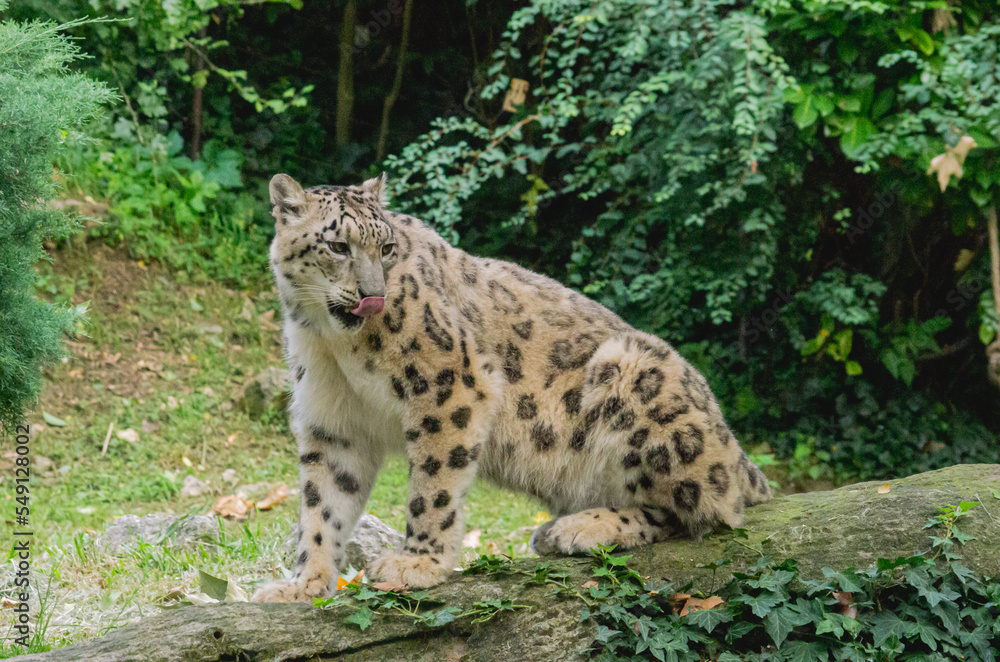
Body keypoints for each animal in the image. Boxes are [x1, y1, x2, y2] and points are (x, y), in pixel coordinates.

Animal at [250, 173, 772, 602]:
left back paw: (581, 528)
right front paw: (304, 584)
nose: (372, 295)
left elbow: (433, 486)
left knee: (705, 511)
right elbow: (323, 505)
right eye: (338, 246)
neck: (333, 345)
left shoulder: (449, 384)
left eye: (387, 248)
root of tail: (735, 448)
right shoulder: (332, 421)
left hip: (633, 375)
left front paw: (417, 563)